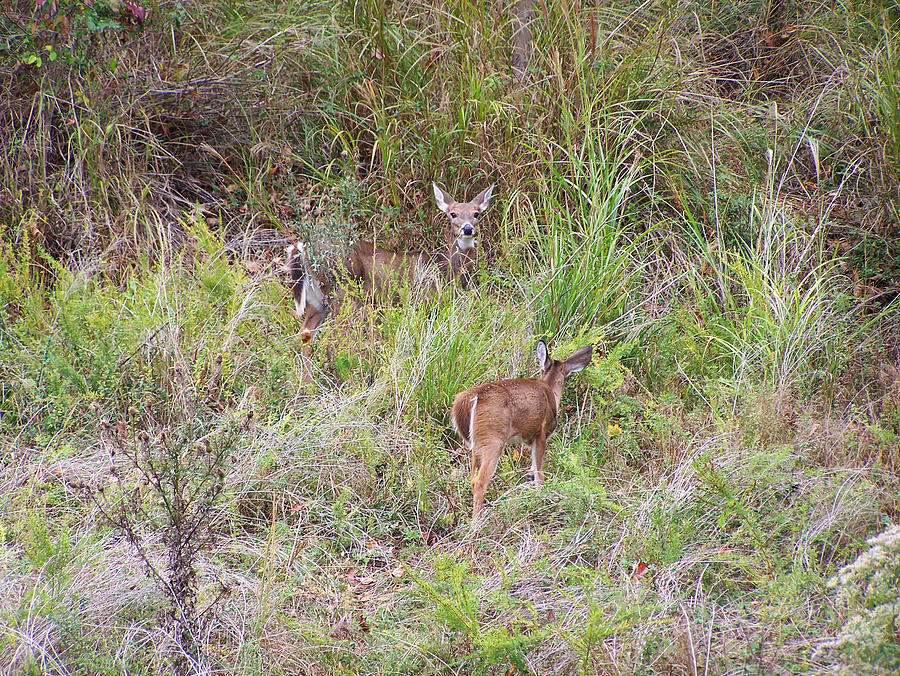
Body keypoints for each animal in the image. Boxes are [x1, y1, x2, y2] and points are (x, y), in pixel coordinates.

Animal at [286, 182, 492, 356]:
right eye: (453, 214)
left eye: (476, 213)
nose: (467, 229)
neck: (445, 266)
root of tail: (304, 249)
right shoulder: (423, 299)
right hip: (343, 293)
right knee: (335, 338)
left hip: (316, 299)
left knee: (305, 335)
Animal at [450, 340, 596, 520]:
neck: (550, 391)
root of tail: (466, 401)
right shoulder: (541, 433)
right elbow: (539, 474)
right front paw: (541, 497)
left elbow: (531, 471)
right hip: (493, 439)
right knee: (479, 481)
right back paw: (477, 522)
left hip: (475, 445)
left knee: (471, 478)